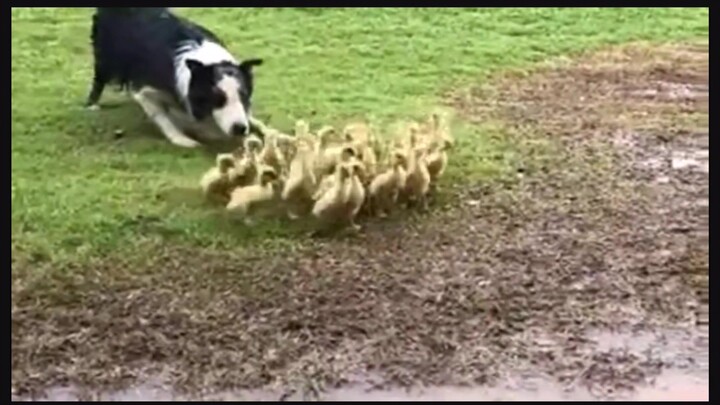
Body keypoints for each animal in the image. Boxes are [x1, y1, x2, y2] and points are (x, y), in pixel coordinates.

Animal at [86, 7, 262, 148]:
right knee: (99, 78)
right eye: (218, 99)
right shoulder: (145, 91)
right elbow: (163, 119)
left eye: (244, 96)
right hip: (105, 57)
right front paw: (181, 139)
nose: (240, 129)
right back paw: (92, 104)